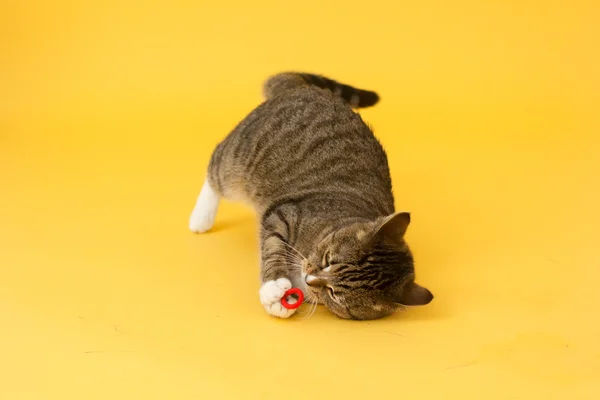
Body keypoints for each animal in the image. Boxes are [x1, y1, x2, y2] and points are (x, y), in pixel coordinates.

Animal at [188, 72, 432, 320]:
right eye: (328, 259)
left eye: (334, 293)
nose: (309, 277)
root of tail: (305, 88)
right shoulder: (285, 213)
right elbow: (273, 246)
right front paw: (273, 286)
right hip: (238, 159)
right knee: (216, 168)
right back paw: (201, 217)